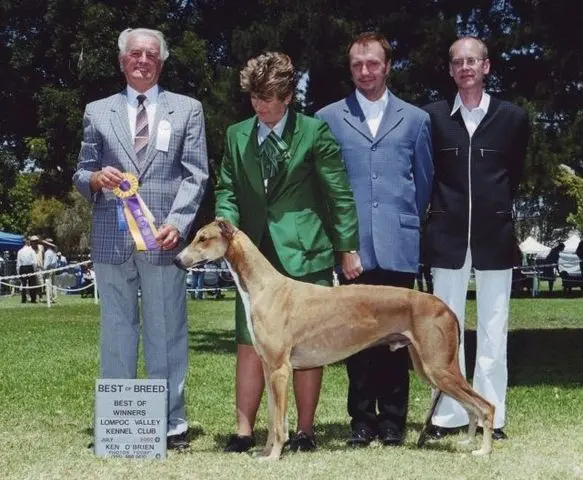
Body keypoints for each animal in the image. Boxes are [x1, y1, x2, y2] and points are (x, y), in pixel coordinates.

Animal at [173, 219, 492, 460]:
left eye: (203, 238)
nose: (177, 260)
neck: (265, 286)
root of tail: (446, 308)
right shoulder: (269, 368)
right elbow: (273, 418)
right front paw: (265, 453)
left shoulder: (280, 370)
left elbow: (279, 424)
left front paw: (274, 456)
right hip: (430, 368)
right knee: (472, 406)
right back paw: (468, 442)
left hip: (438, 368)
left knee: (486, 406)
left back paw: (484, 450)